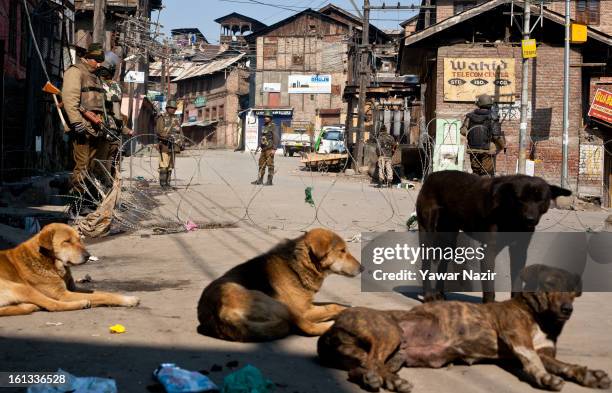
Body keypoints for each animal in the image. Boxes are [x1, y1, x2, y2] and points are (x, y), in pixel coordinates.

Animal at [0, 220, 140, 316]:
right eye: (67, 241)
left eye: (79, 239)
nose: (88, 256)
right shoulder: (63, 295)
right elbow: (102, 296)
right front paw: (129, 300)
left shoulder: (73, 288)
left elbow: (102, 292)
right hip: (22, 288)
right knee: (53, 305)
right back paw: (82, 303)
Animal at [197, 228, 364, 342]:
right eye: (342, 251)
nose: (363, 268)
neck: (299, 265)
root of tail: (217, 313)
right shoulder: (303, 311)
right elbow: (333, 307)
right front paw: (349, 311)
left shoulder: (307, 304)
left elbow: (330, 304)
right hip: (278, 305)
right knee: (308, 328)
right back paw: (330, 326)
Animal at [318, 264, 608, 390]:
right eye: (549, 285)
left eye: (572, 289)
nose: (567, 310)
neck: (541, 318)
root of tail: (331, 328)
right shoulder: (517, 337)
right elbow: (533, 361)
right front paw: (545, 378)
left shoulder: (546, 353)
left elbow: (564, 364)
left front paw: (587, 374)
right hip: (389, 332)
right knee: (372, 362)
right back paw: (387, 381)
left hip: (395, 354)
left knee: (362, 368)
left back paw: (383, 380)